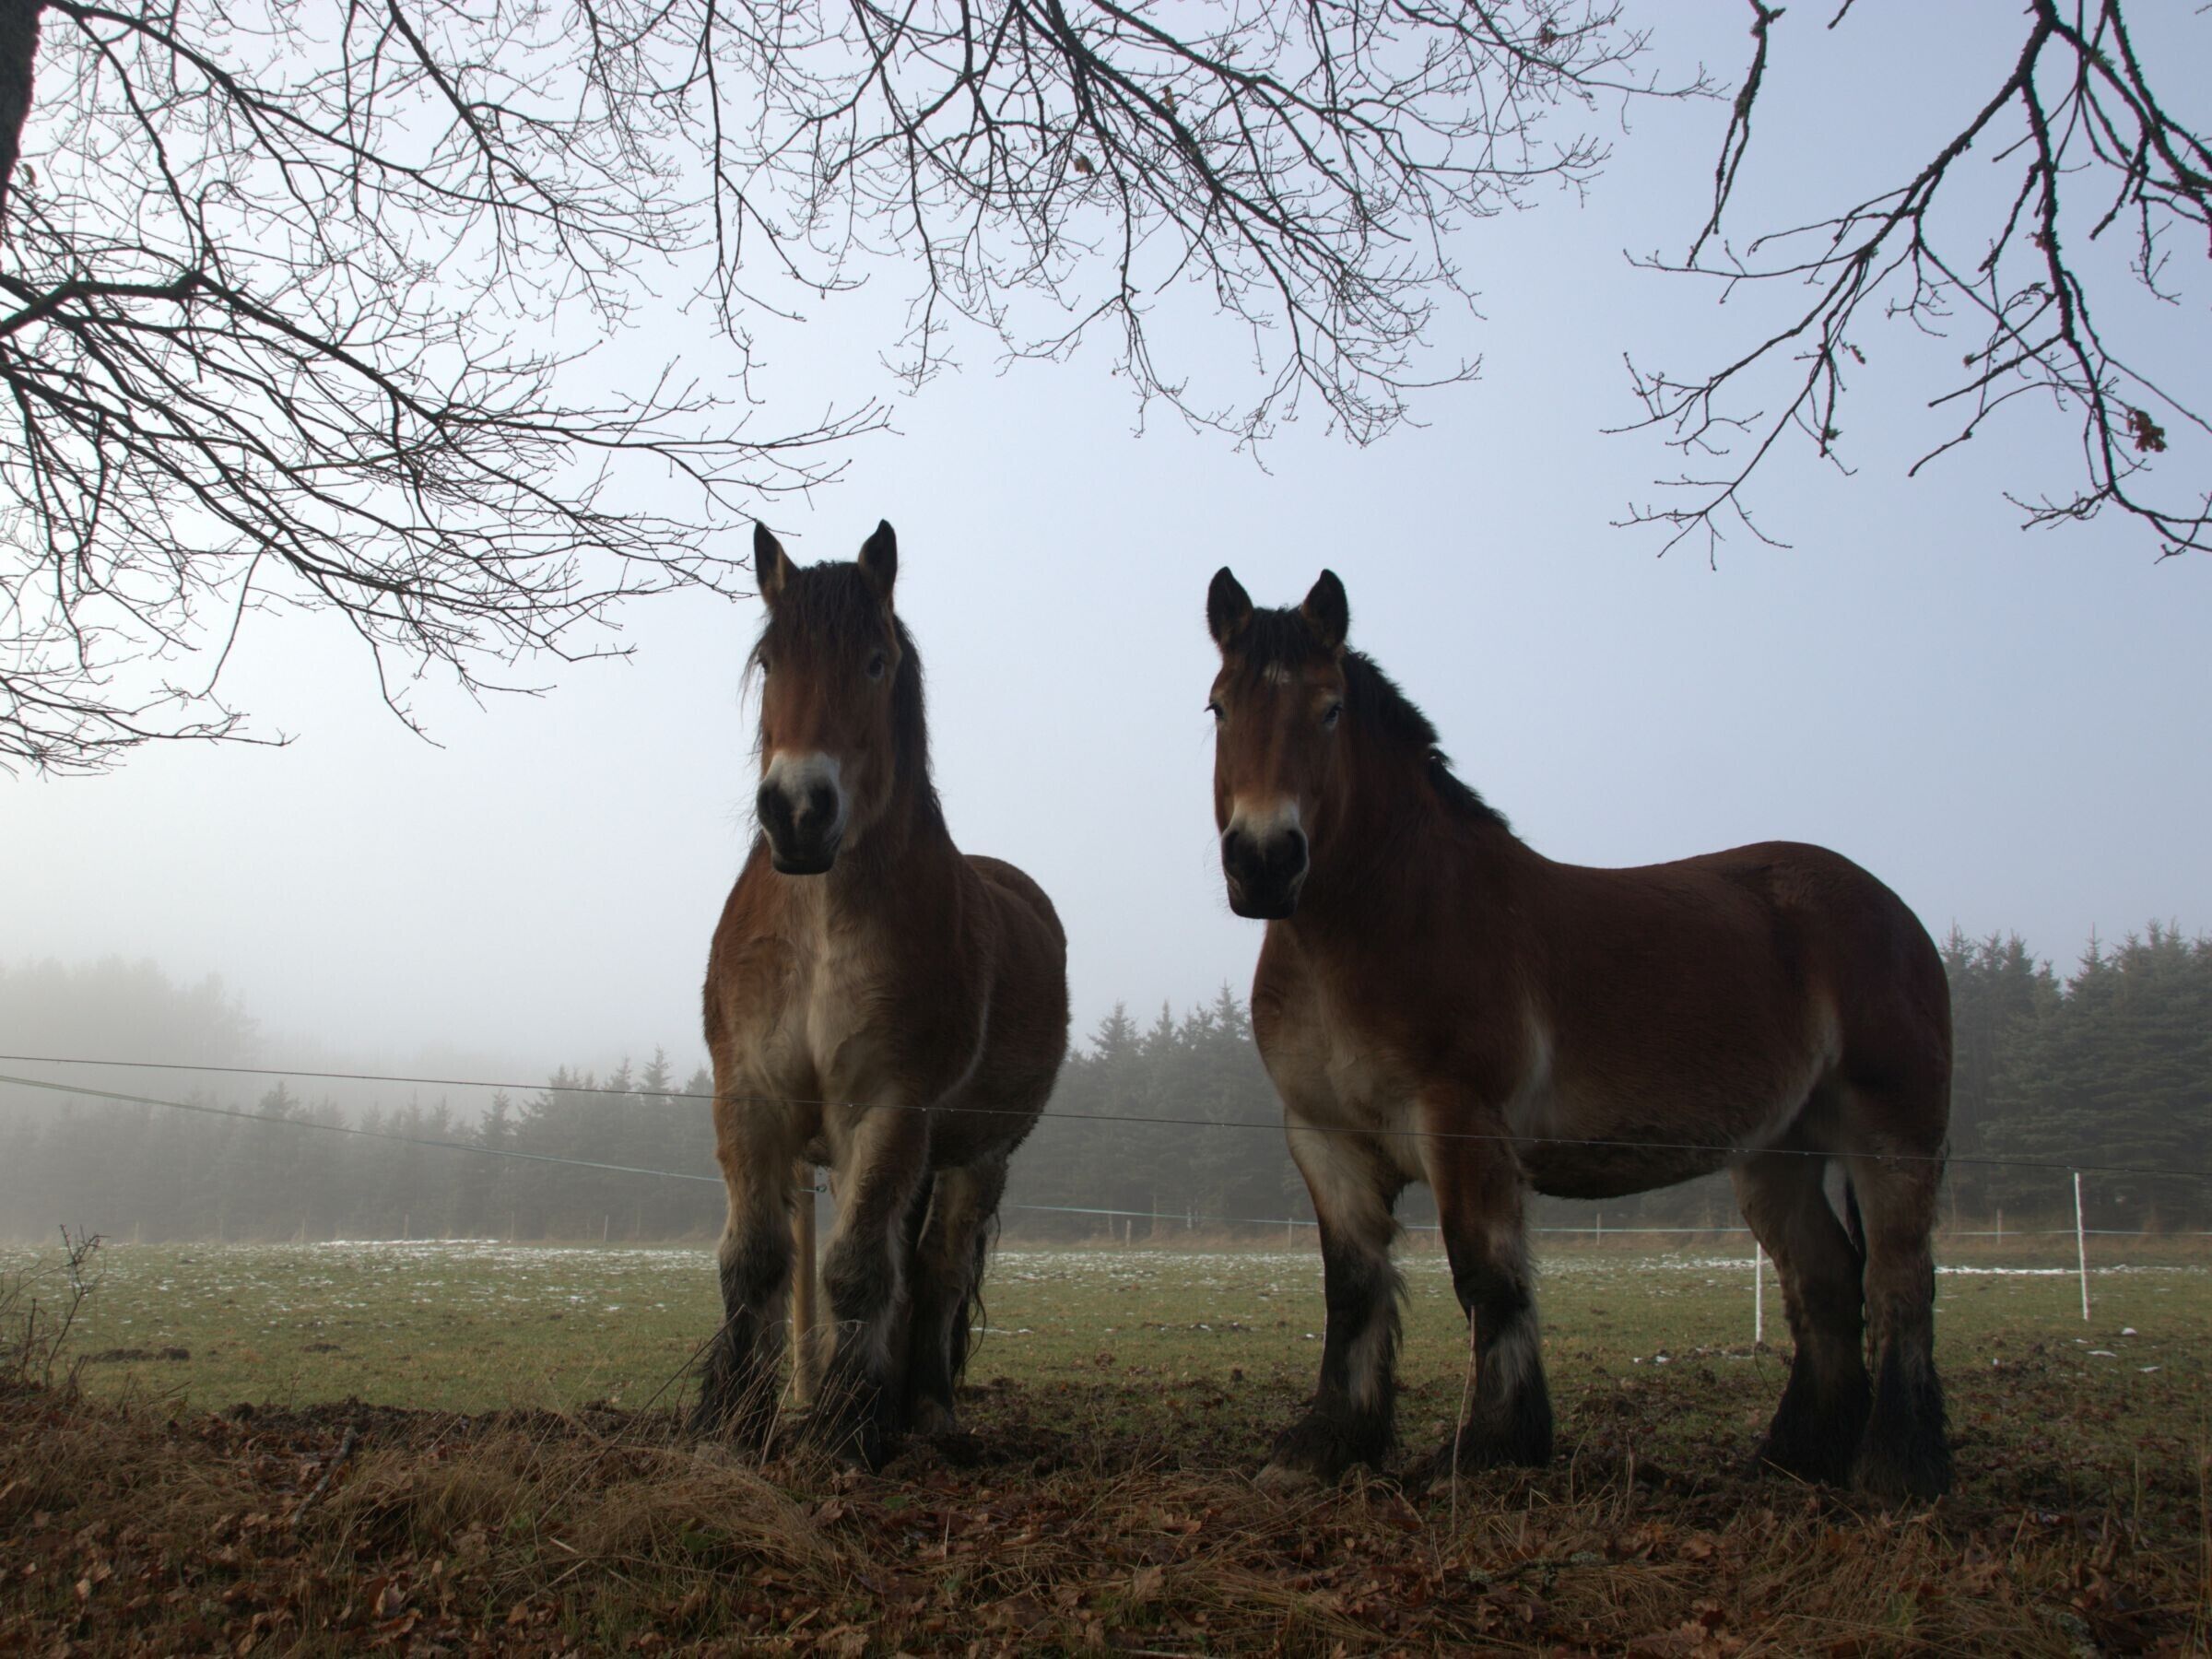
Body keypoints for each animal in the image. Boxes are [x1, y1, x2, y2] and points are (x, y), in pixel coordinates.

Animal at [693, 520, 1069, 1467]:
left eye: (874, 661)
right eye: (771, 660)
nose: (797, 812)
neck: (822, 925)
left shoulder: (889, 1109)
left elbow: (858, 1272)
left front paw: (842, 1433)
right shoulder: (750, 1096)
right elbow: (753, 1260)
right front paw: (730, 1427)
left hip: (977, 1157)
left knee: (935, 1271)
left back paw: (924, 1408)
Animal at [1204, 567, 1953, 1501]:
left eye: (1330, 708)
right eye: (1219, 707)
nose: (1265, 861)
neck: (1386, 920)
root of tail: (1894, 912)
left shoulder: (1463, 1123)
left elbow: (1487, 1277)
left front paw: (1490, 1448)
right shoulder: (1325, 1137)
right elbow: (1352, 1289)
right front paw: (1324, 1446)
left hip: (1891, 1136)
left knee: (1899, 1282)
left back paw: (1894, 1466)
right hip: (1777, 1152)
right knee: (1824, 1281)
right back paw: (1791, 1456)